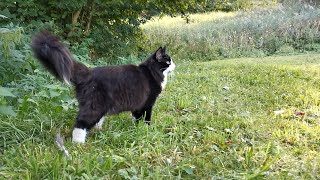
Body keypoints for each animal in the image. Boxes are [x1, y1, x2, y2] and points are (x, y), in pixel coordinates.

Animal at [31, 31, 176, 143]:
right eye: (168, 62)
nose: (175, 65)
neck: (151, 72)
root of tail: (88, 73)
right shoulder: (147, 103)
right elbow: (145, 119)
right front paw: (146, 131)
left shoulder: (138, 104)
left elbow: (136, 118)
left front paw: (137, 129)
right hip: (94, 106)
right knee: (80, 124)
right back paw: (78, 144)